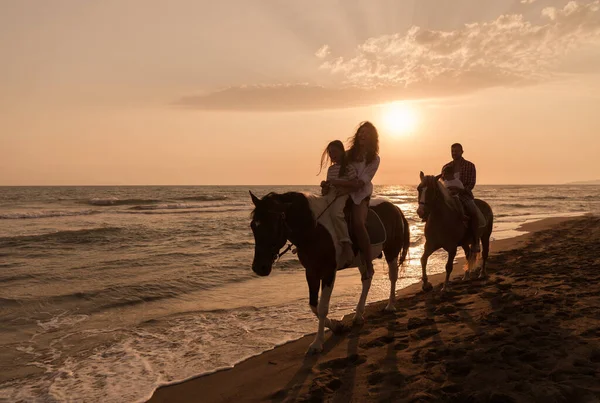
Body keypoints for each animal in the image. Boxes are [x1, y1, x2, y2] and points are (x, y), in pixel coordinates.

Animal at [247, 192, 408, 354]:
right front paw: (337, 326)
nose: (259, 267)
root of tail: (395, 208)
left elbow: (323, 307)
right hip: (362, 259)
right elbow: (314, 305)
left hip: (391, 250)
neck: (314, 230)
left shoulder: (328, 272)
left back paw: (390, 306)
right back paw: (358, 315)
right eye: (253, 225)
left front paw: (317, 343)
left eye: (273, 225)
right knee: (367, 279)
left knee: (392, 276)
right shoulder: (311, 272)